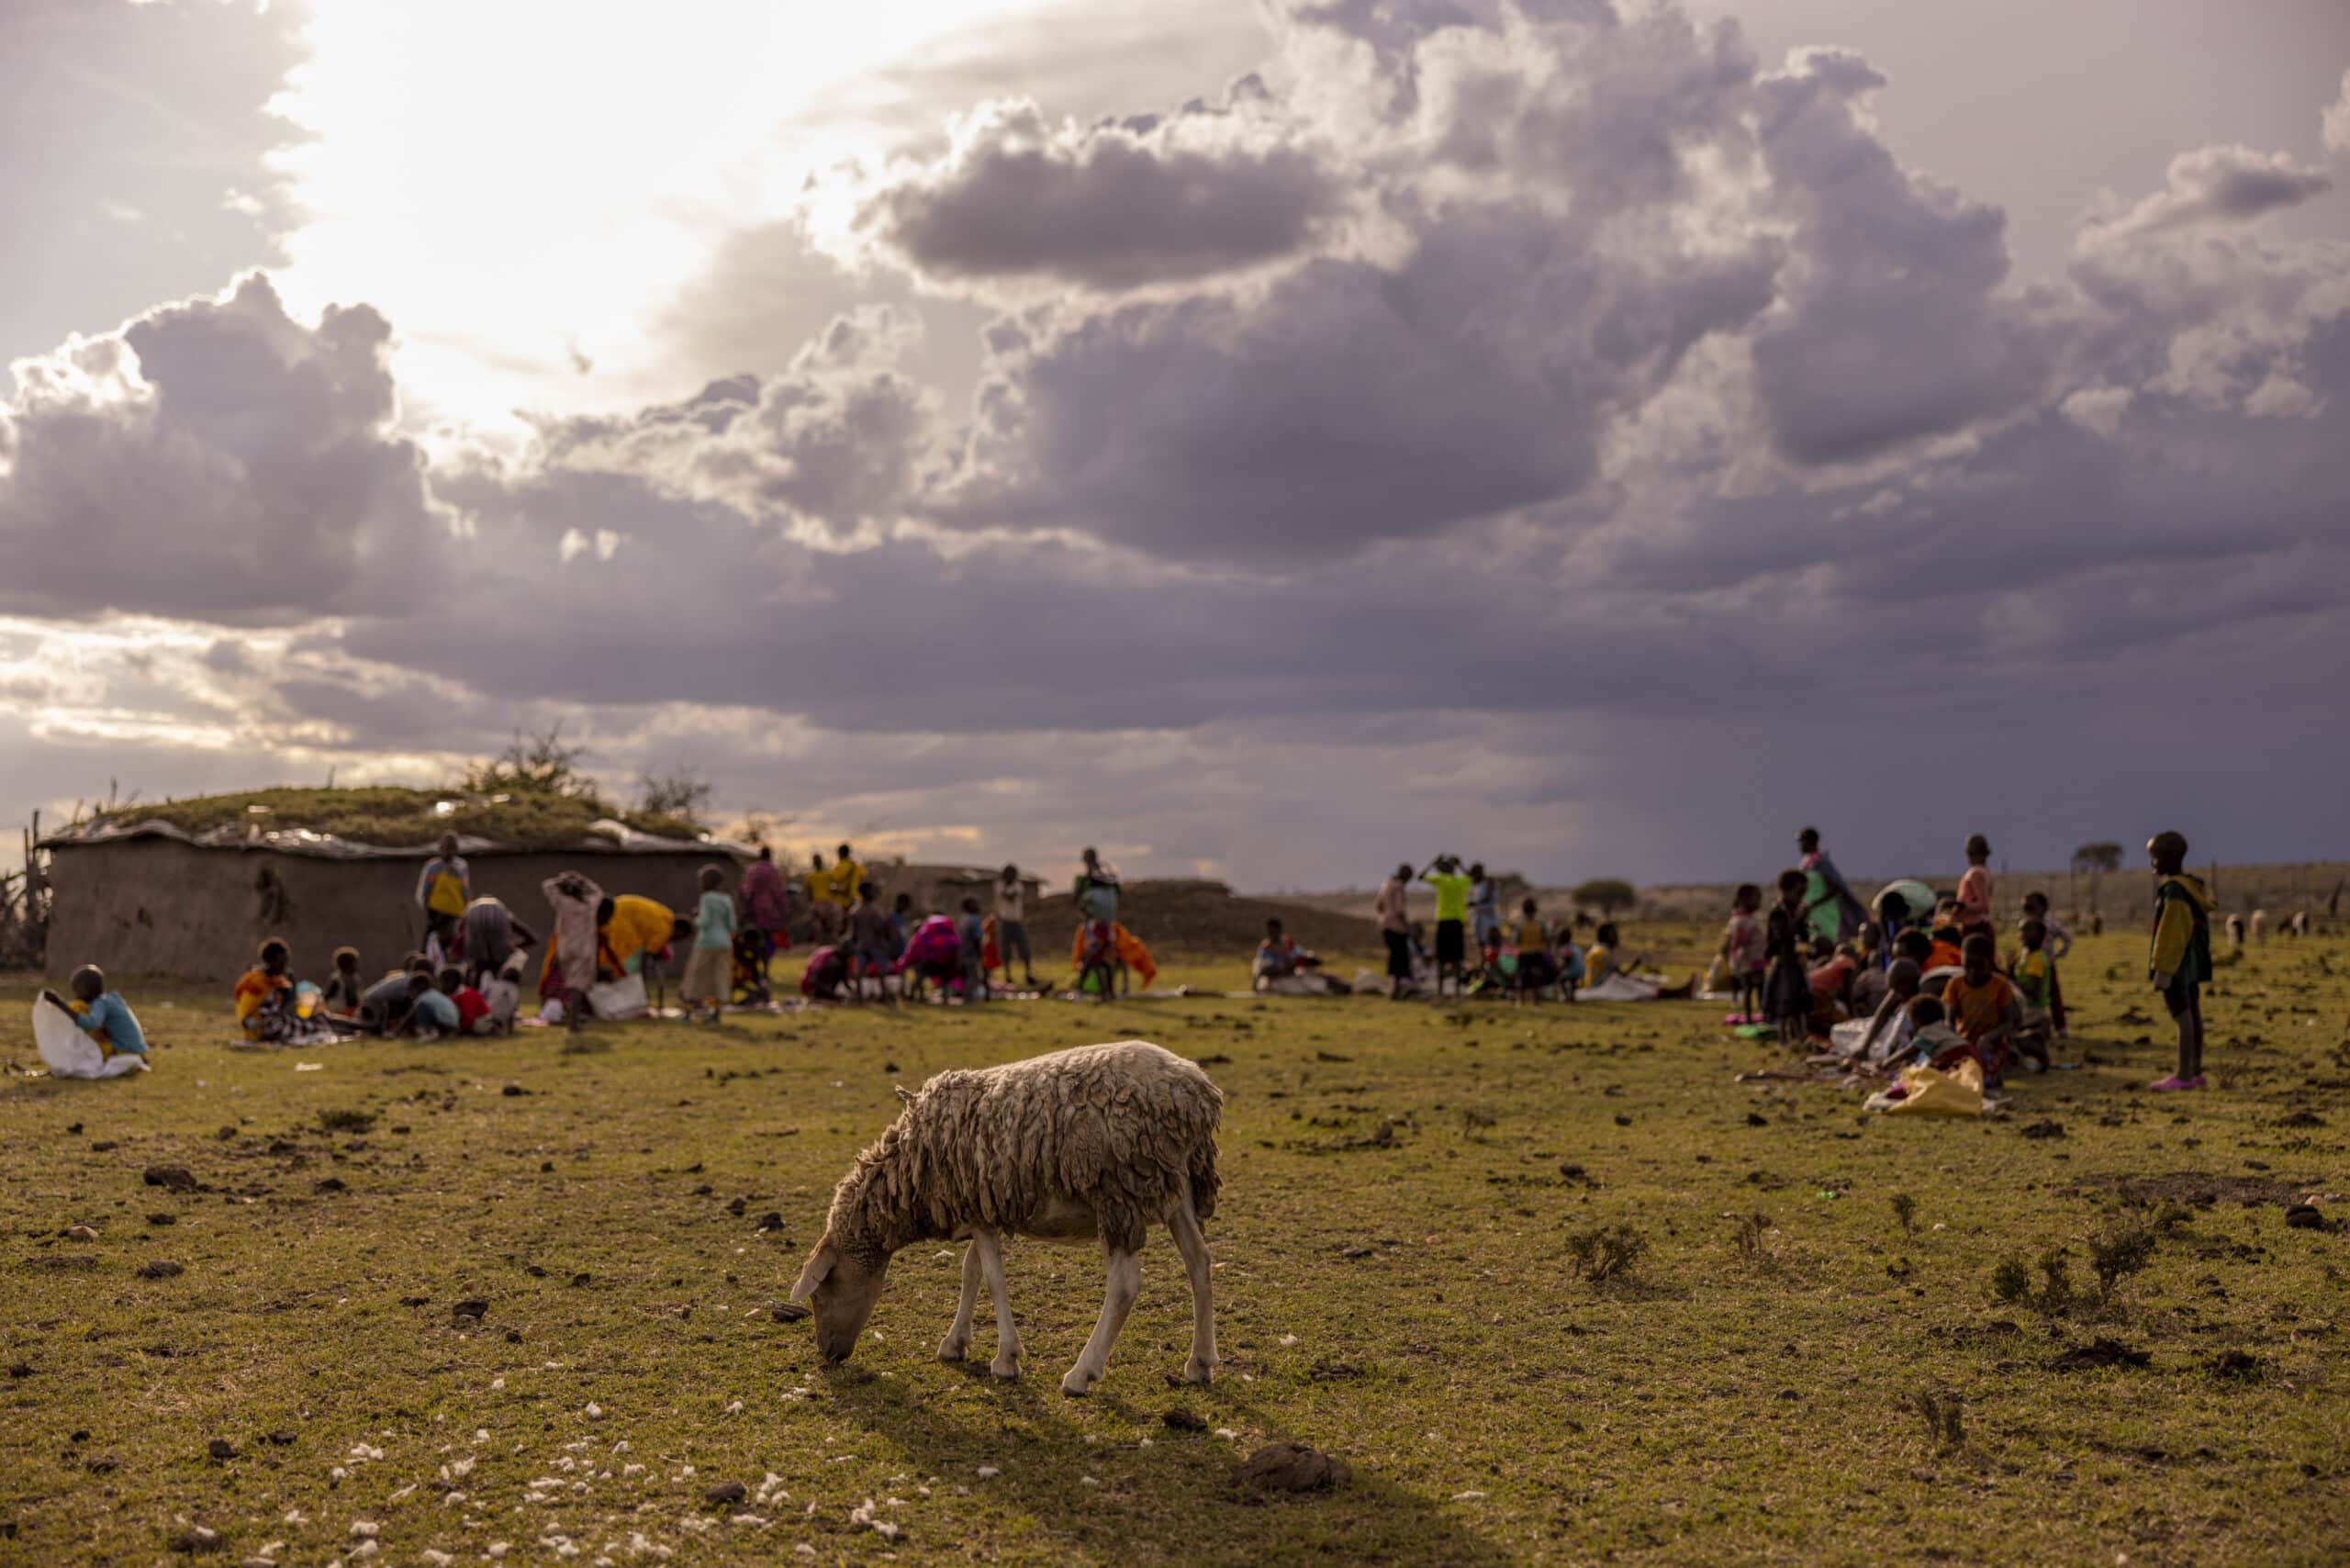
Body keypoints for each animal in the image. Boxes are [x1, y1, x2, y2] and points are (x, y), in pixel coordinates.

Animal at [794, 1043, 1231, 1401]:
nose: (828, 1354)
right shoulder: (979, 1208)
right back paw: (1200, 1363)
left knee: (1125, 1284)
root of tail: (1199, 1093)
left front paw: (1006, 1359)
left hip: (1120, 1192)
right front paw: (955, 1343)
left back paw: (1082, 1373)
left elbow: (992, 1278)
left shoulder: (978, 1207)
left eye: (822, 1289)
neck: (909, 1171)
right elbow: (971, 1271)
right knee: (1199, 1263)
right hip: (1177, 1185)